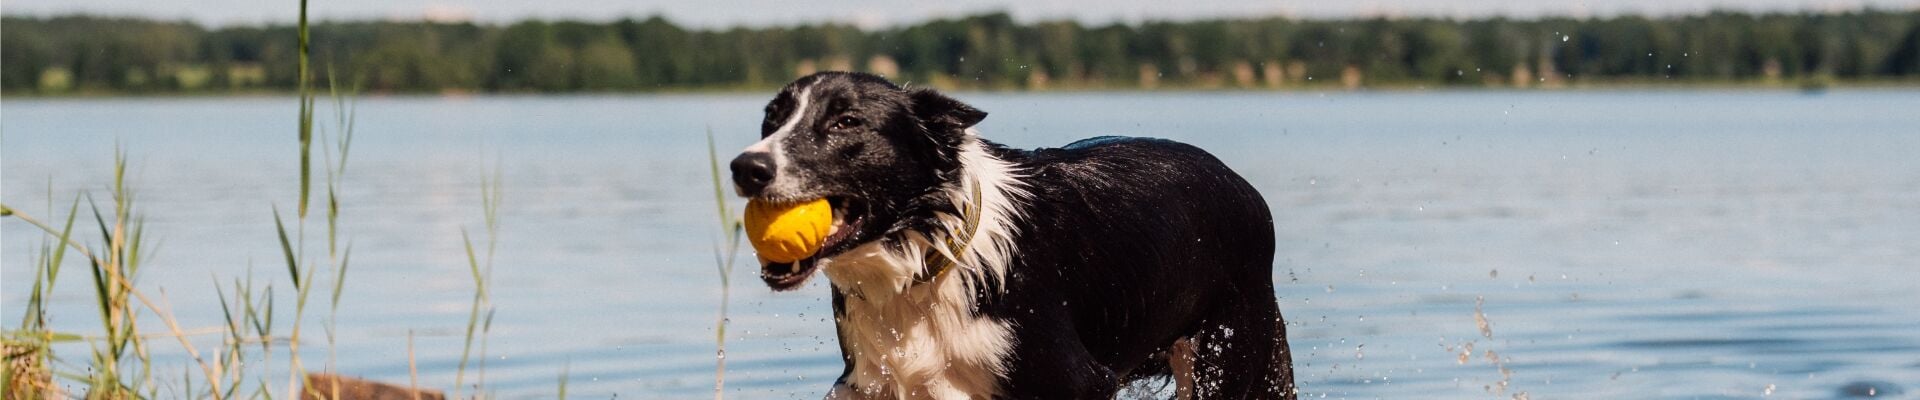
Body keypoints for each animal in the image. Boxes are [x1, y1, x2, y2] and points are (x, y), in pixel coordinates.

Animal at [737, 72, 1305, 400]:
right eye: (770, 121)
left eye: (846, 122)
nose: (746, 167)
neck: (929, 261)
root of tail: (1245, 188)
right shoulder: (872, 382)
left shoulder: (1076, 381)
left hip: (1229, 356)